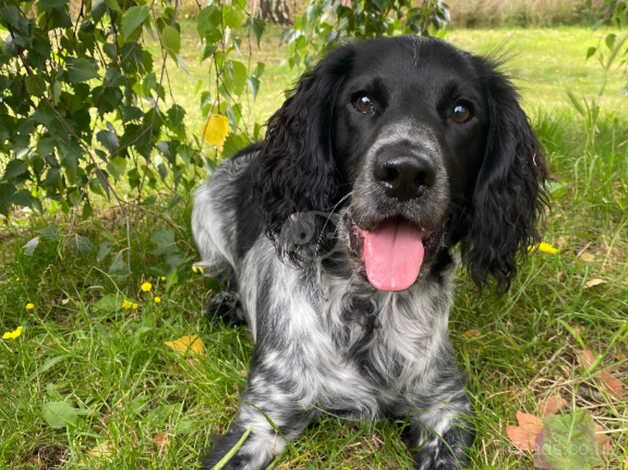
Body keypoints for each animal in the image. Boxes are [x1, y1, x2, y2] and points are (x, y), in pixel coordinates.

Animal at [194, 35, 548, 468]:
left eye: (462, 111)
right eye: (362, 101)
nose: (406, 173)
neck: (370, 305)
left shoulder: (444, 405)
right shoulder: (262, 418)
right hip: (204, 210)